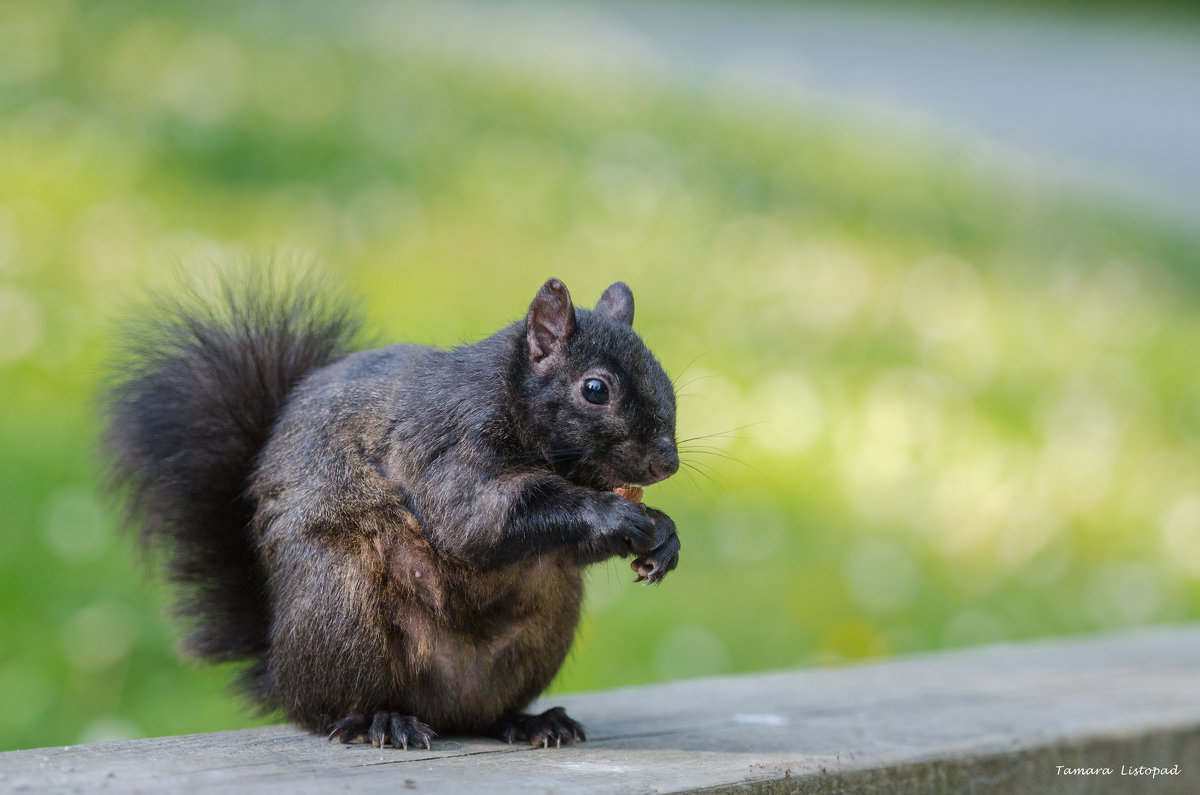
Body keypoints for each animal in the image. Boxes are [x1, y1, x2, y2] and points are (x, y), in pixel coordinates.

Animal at [100, 271, 686, 749]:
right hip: (343, 610)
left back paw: (529, 722)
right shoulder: (446, 443)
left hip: (544, 629)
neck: (507, 394)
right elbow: (477, 518)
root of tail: (281, 672)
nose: (668, 462)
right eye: (595, 389)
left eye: (666, 379)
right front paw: (614, 516)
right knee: (333, 709)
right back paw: (381, 721)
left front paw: (665, 536)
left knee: (486, 715)